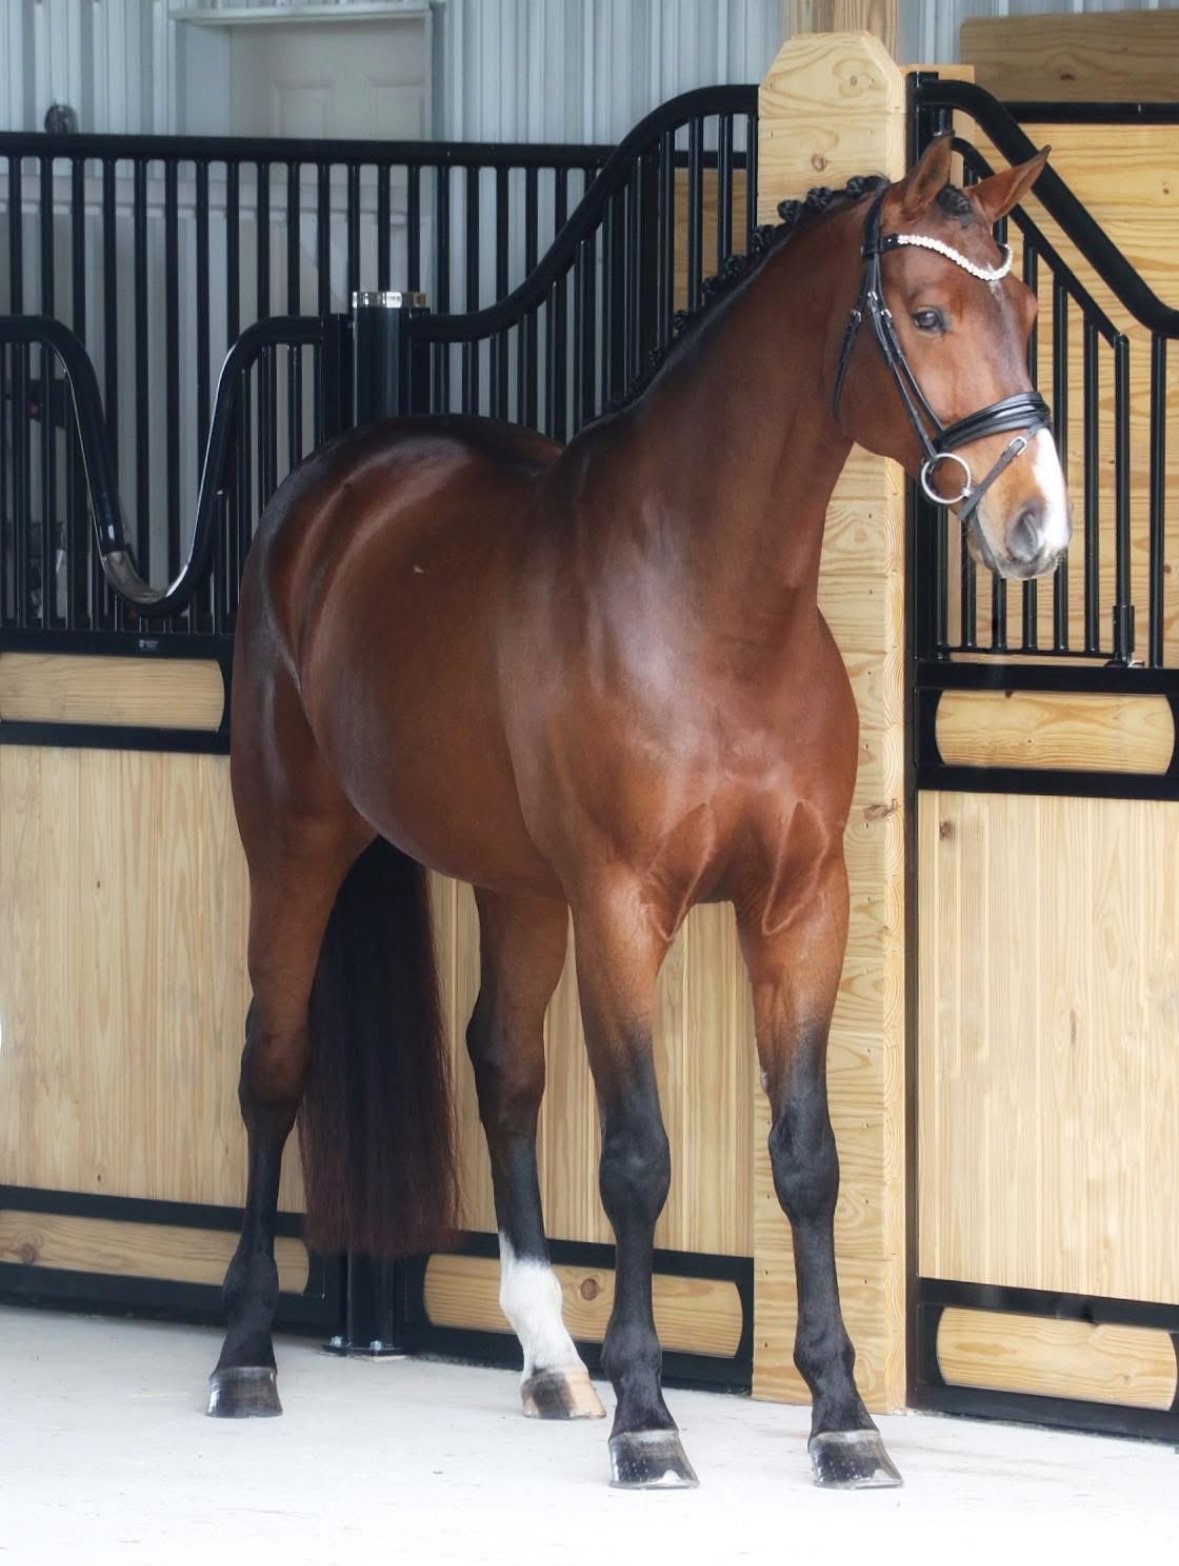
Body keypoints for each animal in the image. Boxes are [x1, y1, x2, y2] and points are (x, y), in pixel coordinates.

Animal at [205, 132, 1068, 1490]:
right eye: (928, 314)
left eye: (1026, 315)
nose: (1036, 524)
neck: (710, 604)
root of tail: (336, 486)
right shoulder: (623, 907)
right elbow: (638, 1158)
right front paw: (650, 1418)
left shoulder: (800, 908)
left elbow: (808, 1160)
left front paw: (843, 1419)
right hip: (296, 842)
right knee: (273, 1069)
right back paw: (247, 1356)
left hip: (516, 887)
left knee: (504, 1070)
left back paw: (549, 1358)